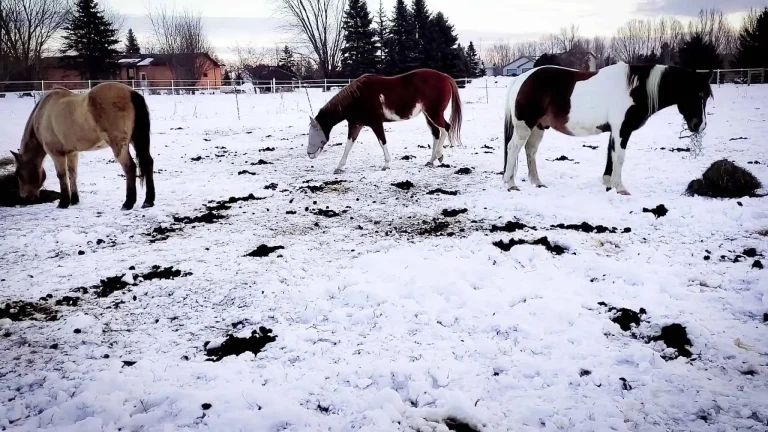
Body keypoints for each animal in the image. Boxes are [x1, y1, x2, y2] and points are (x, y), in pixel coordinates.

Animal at [11, 82, 155, 209]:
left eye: (19, 174)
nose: (24, 197)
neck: (43, 113)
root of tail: (131, 93)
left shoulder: (56, 154)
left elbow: (62, 175)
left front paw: (63, 203)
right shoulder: (72, 152)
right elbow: (72, 174)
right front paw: (74, 200)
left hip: (119, 145)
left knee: (129, 167)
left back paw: (128, 203)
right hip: (136, 141)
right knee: (148, 163)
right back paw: (148, 201)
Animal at [307, 68, 463, 173]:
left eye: (314, 133)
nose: (309, 154)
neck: (357, 97)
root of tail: (445, 77)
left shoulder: (376, 123)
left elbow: (382, 142)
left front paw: (387, 164)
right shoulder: (355, 125)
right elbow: (348, 145)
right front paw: (339, 167)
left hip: (434, 113)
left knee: (445, 129)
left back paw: (439, 155)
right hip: (428, 115)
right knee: (436, 133)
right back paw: (431, 161)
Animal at [502, 63, 713, 195]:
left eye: (706, 96)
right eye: (697, 94)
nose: (700, 125)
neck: (636, 89)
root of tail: (522, 78)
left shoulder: (615, 131)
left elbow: (610, 155)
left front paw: (608, 184)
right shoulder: (622, 130)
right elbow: (619, 157)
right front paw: (620, 188)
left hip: (538, 127)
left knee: (530, 151)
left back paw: (537, 182)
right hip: (524, 126)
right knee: (513, 148)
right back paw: (510, 184)